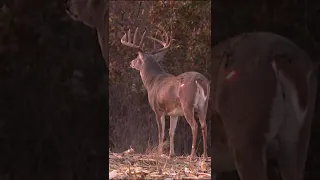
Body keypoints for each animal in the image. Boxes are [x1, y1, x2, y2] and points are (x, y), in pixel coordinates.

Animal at [120, 25, 210, 159]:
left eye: (137, 58)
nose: (131, 62)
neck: (152, 82)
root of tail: (200, 80)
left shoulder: (158, 109)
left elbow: (161, 132)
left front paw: (159, 152)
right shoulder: (174, 113)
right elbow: (171, 132)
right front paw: (171, 153)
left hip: (187, 103)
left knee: (194, 126)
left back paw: (192, 155)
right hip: (204, 104)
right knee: (204, 125)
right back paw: (205, 155)